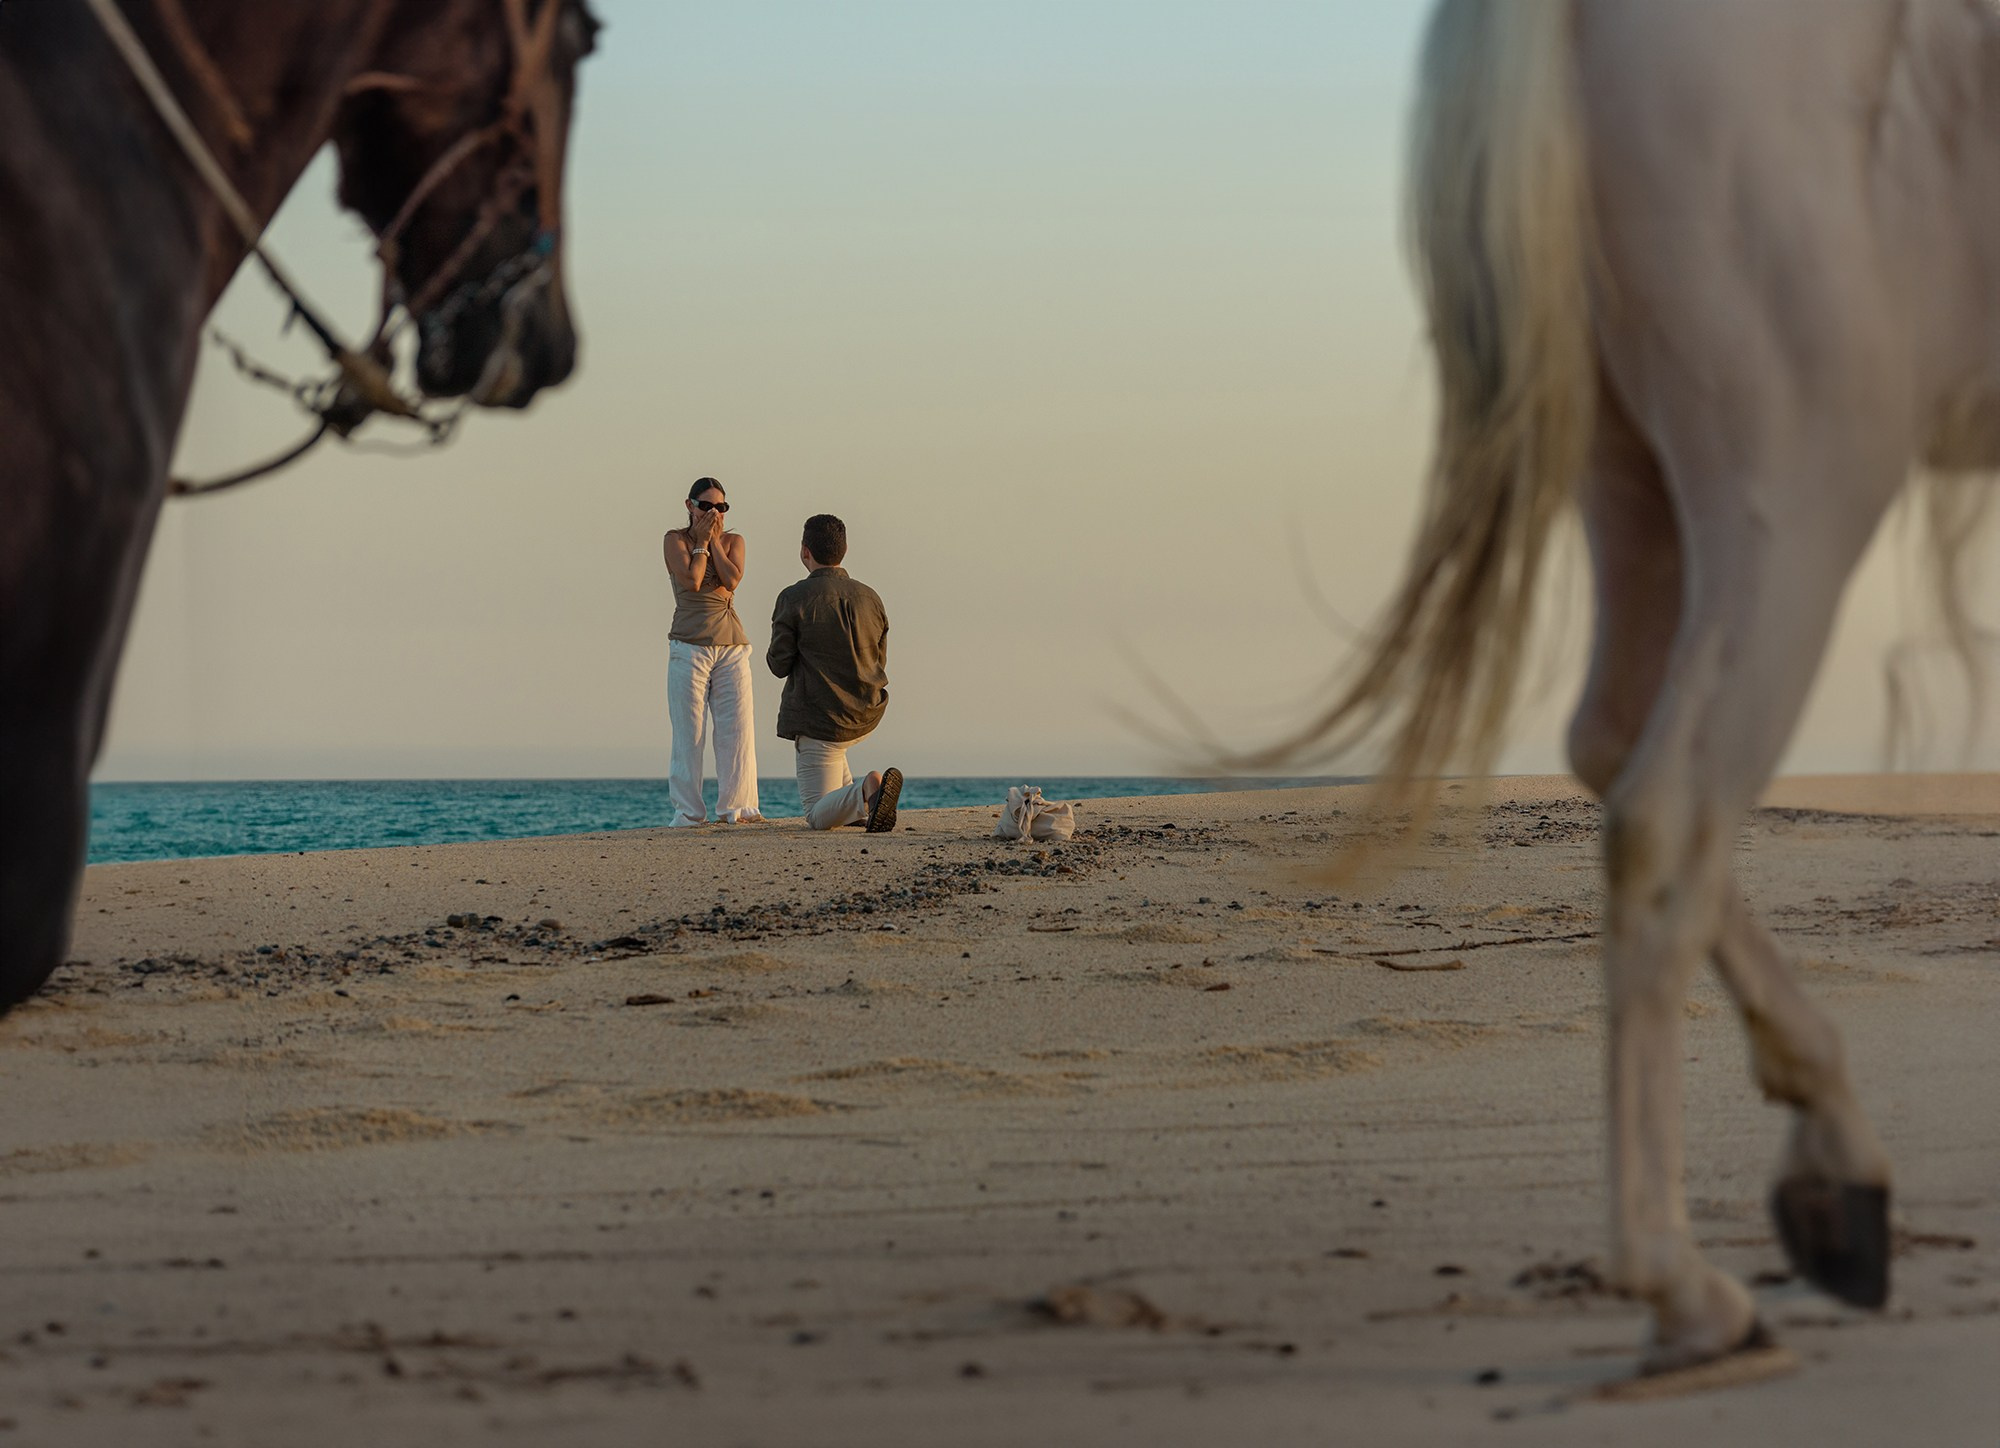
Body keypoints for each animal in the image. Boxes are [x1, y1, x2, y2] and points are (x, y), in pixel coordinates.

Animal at [1296, 0, 1996, 1373]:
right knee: (1668, 805)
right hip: (1800, 485)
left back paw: (1823, 1169)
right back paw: (1678, 1281)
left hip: (1627, 469)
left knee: (1612, 742)